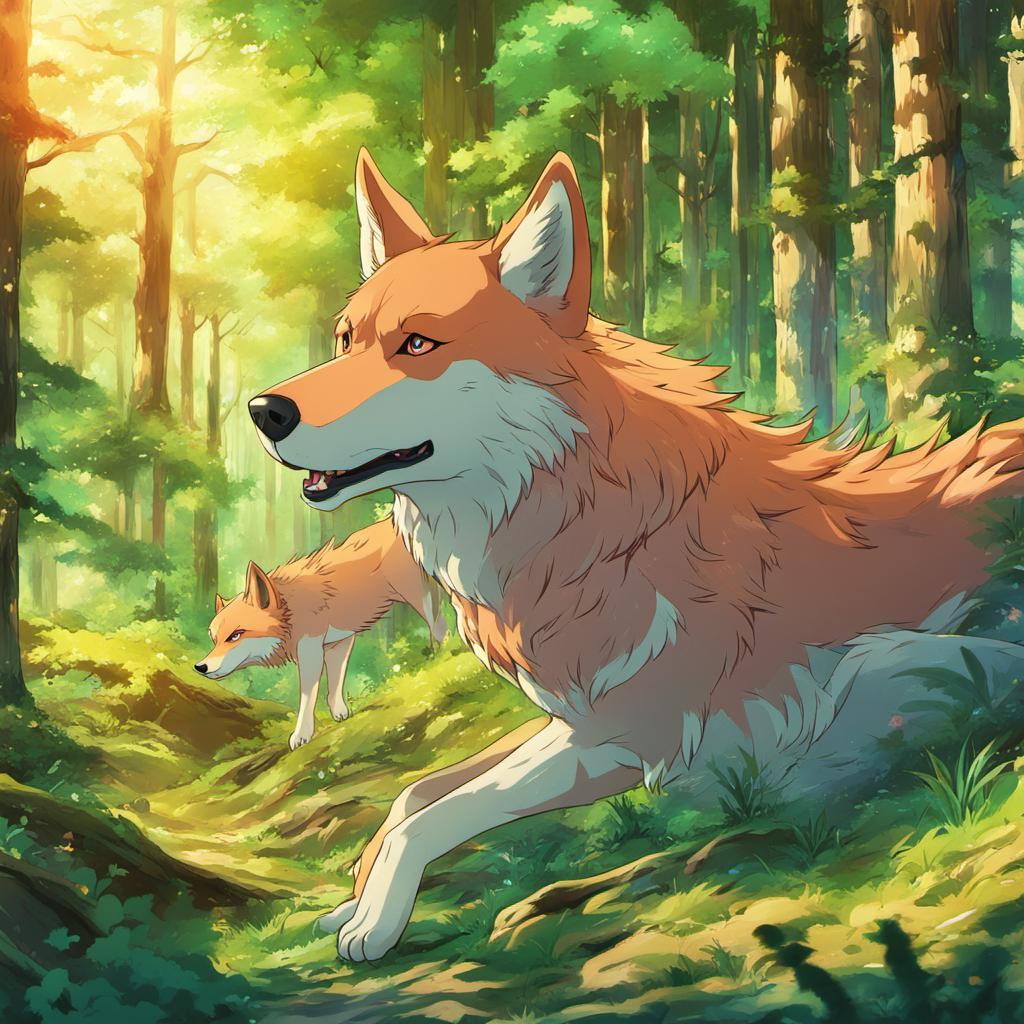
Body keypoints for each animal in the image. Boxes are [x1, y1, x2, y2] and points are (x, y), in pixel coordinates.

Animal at [195, 519, 447, 750]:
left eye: (236, 635)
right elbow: (334, 684)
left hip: (420, 599)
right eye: (214, 639)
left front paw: (302, 735)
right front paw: (341, 713)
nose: (200, 667)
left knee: (441, 627)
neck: (293, 610)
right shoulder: (339, 642)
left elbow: (308, 696)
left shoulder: (311, 650)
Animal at [248, 148, 1024, 961]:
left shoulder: (637, 732)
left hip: (901, 666)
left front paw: (374, 921)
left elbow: (436, 814)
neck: (601, 526)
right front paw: (353, 899)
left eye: (419, 345)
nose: (264, 411)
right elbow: (414, 794)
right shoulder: (576, 714)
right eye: (345, 340)